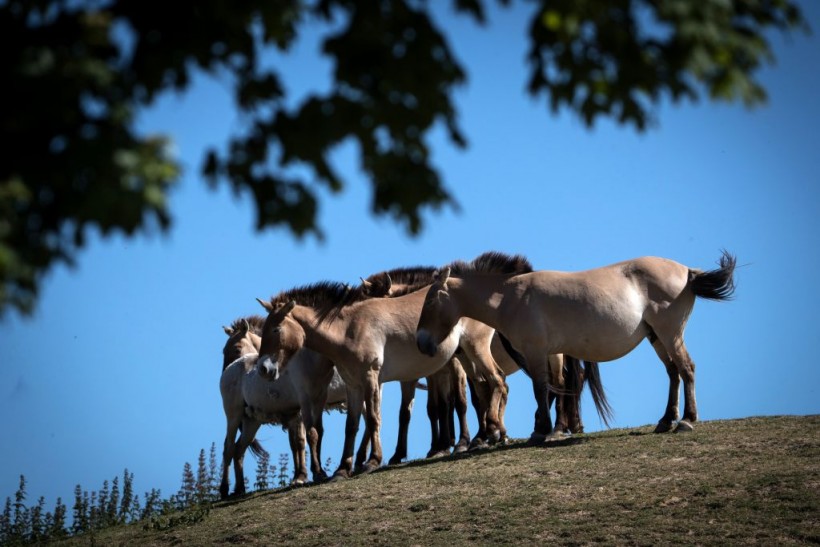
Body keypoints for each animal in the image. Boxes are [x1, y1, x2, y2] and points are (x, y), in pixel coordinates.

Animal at [416, 250, 736, 444]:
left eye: (429, 301)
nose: (420, 341)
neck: (511, 295)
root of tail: (687, 271)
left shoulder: (536, 352)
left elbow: (542, 389)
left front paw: (541, 431)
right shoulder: (546, 353)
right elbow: (551, 387)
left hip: (670, 333)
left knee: (686, 368)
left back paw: (687, 419)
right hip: (656, 336)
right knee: (673, 373)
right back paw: (666, 420)